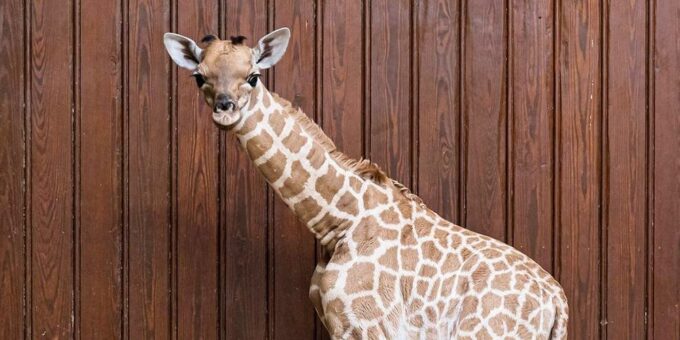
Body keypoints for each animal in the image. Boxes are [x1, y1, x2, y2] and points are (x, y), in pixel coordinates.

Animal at [163, 27, 568, 340]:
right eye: (200, 76)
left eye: (253, 76)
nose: (225, 108)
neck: (338, 220)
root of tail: (558, 303)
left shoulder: (367, 324)